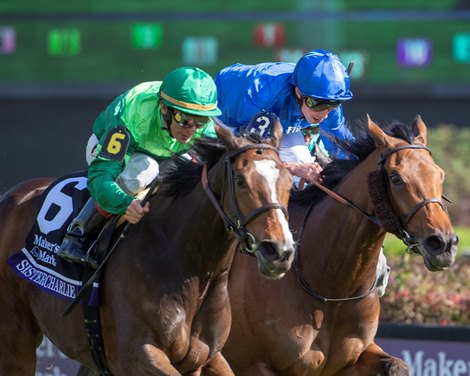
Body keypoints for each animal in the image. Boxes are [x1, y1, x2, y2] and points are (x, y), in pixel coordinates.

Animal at [0, 122, 294, 374]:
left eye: (290, 181)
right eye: (241, 180)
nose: (278, 251)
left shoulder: (205, 357)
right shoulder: (138, 355)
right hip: (15, 336)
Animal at [222, 116, 458, 374]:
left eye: (440, 175)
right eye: (395, 177)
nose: (443, 244)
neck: (333, 287)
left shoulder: (350, 359)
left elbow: (397, 366)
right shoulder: (253, 364)